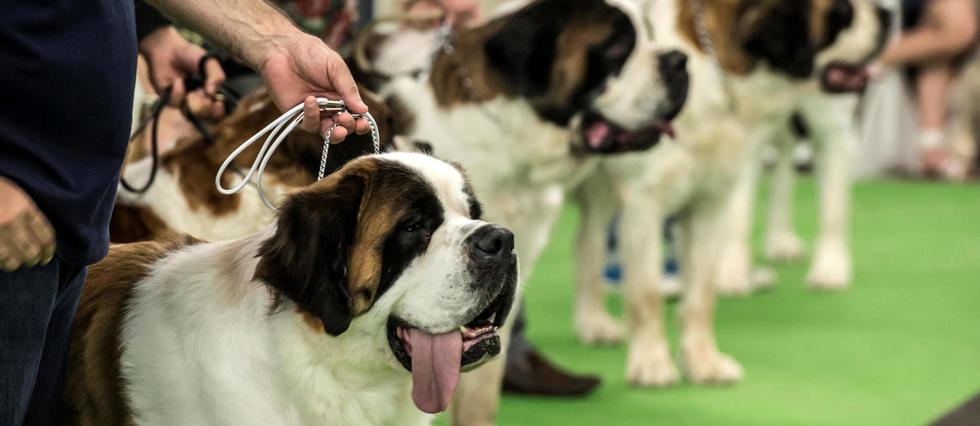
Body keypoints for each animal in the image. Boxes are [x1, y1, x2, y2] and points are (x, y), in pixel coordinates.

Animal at [572, 0, 892, 388]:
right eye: (842, 11)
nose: (888, 16)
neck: (715, 74)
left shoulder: (712, 202)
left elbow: (701, 295)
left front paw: (703, 363)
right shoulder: (645, 205)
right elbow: (646, 295)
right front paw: (651, 363)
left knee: (587, 244)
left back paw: (593, 324)